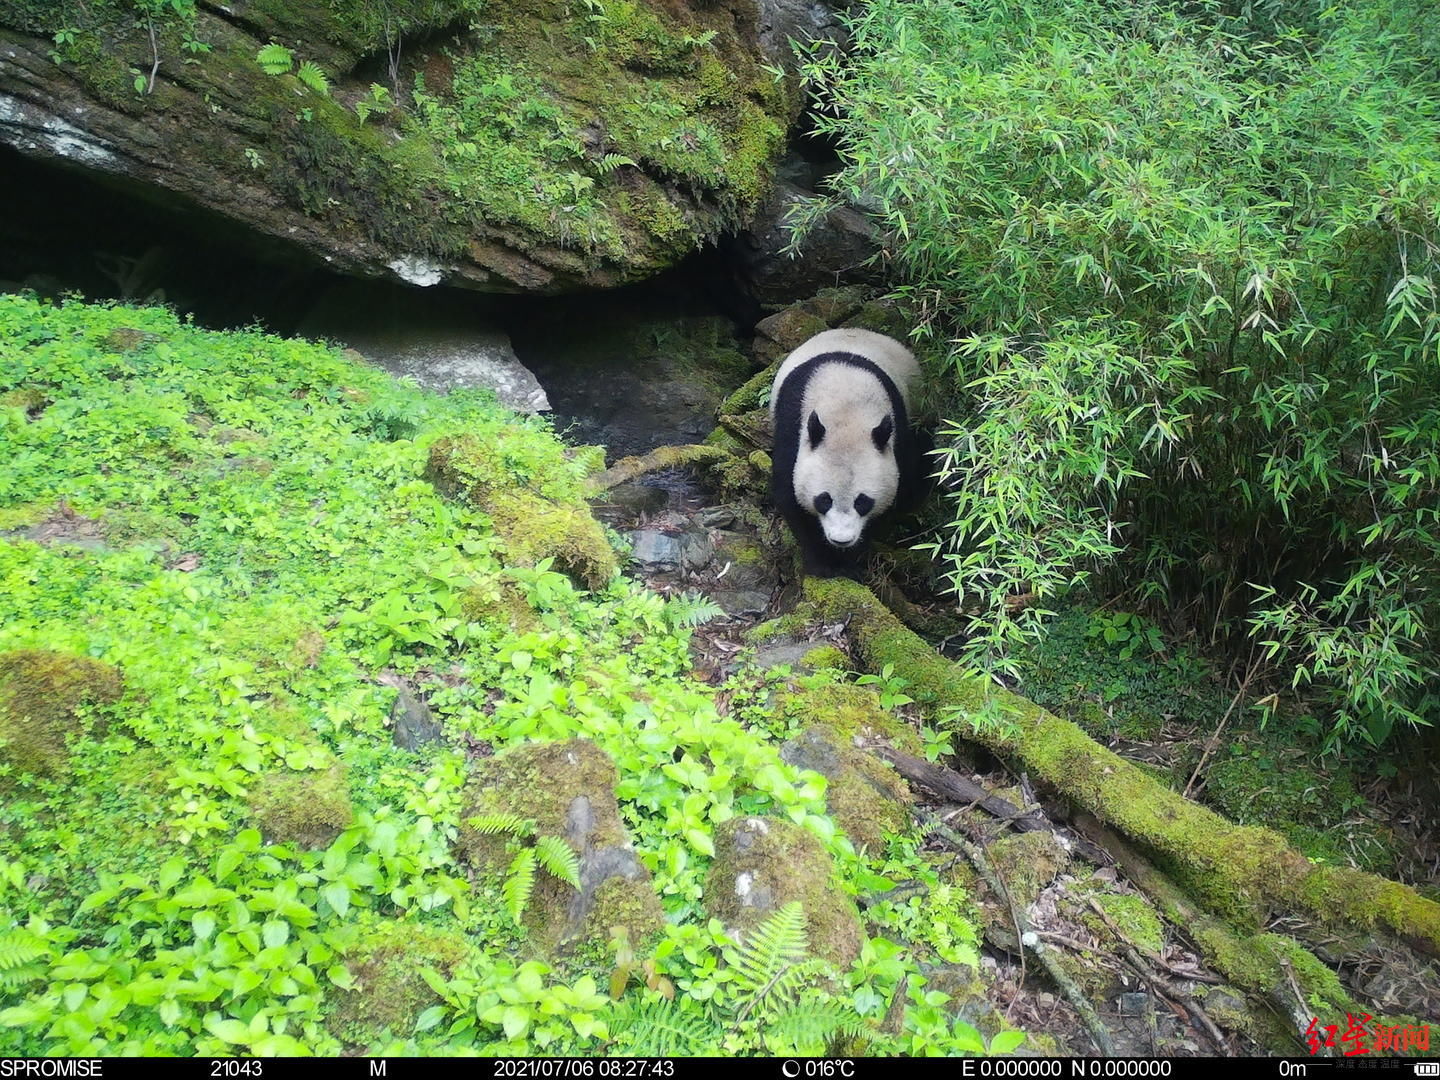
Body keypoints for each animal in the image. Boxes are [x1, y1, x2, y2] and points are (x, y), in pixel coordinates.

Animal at [771, 328, 927, 578]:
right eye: (824, 500)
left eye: (862, 502)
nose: (841, 540)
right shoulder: (793, 431)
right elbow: (790, 497)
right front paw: (823, 564)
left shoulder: (897, 435)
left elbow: (893, 499)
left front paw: (850, 562)